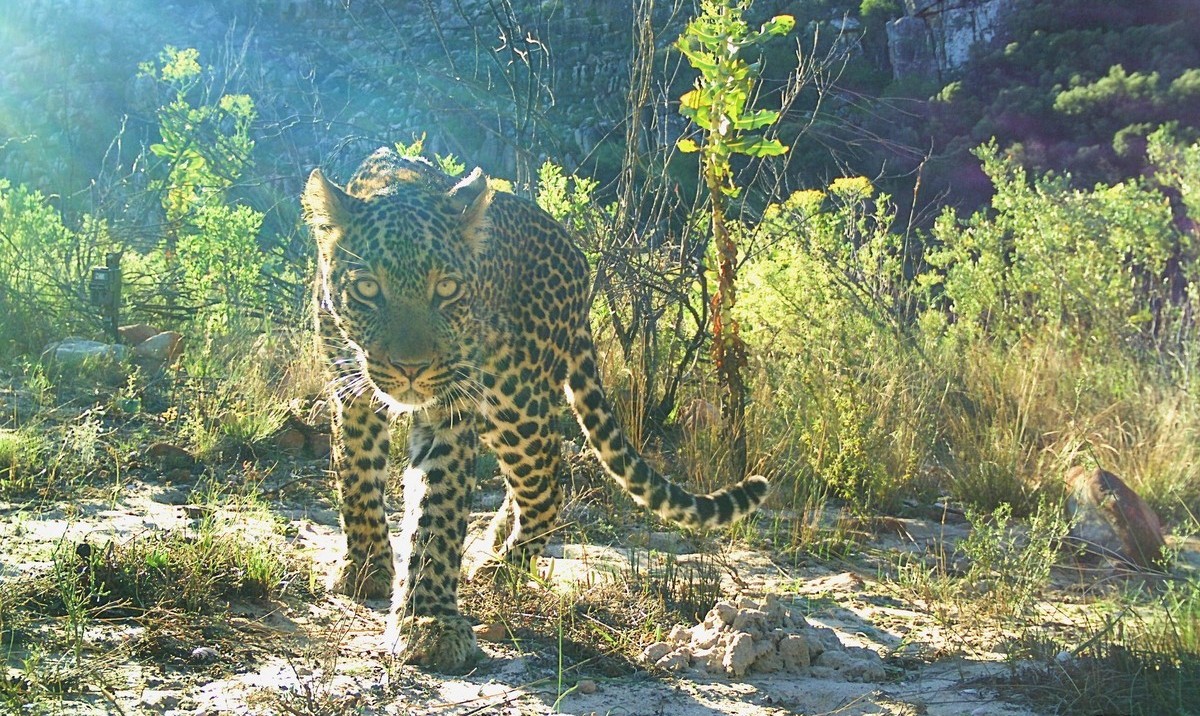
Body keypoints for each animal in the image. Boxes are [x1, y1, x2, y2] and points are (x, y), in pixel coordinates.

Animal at [301, 147, 769, 673]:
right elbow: (357, 478)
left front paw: (429, 621)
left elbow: (436, 514)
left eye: (446, 289)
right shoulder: (350, 391)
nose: (411, 368)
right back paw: (492, 543)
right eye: (367, 289)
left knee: (547, 485)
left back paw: (498, 567)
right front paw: (365, 568)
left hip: (515, 401)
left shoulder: (451, 410)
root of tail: (575, 255)